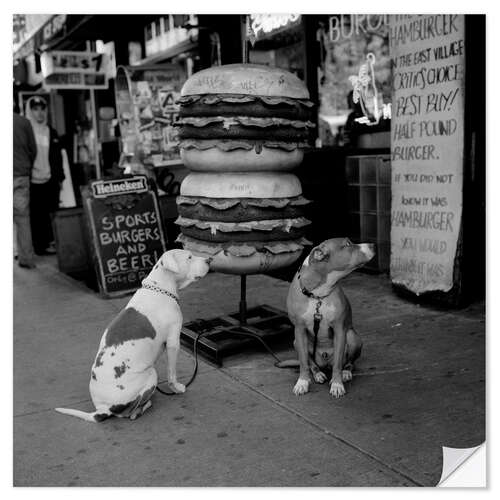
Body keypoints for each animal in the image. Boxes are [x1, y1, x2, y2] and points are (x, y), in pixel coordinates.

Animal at [55, 250, 211, 422]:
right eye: (189, 257)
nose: (209, 259)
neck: (160, 288)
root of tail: (103, 409)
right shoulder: (173, 342)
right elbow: (172, 373)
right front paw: (176, 388)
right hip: (151, 373)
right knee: (132, 413)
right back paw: (145, 405)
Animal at [286, 238, 376, 398]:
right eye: (347, 244)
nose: (373, 245)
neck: (318, 294)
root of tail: (325, 362)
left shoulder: (340, 330)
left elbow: (338, 364)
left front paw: (337, 384)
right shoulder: (299, 330)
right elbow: (303, 362)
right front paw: (302, 382)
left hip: (352, 337)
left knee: (348, 363)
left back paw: (346, 372)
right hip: (295, 342)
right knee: (312, 364)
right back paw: (317, 374)